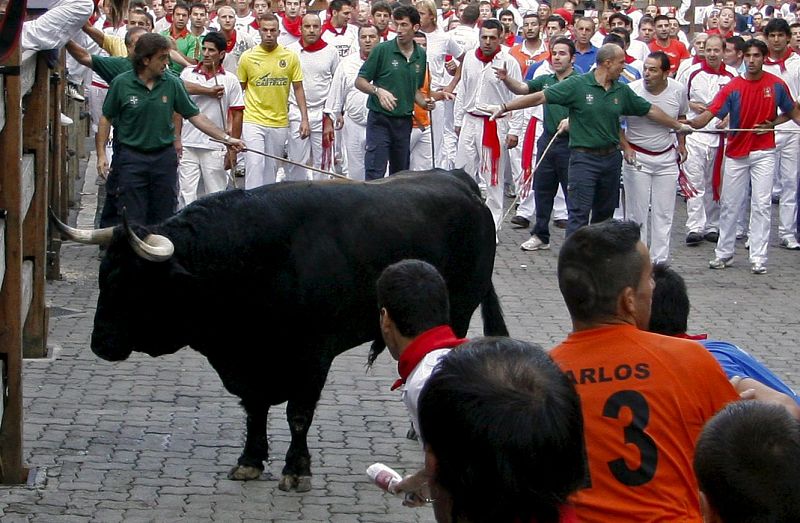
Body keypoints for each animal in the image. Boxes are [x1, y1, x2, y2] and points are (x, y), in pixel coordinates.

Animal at [54, 171, 506, 492]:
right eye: (103, 276)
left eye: (134, 285)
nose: (100, 344)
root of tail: (459, 182)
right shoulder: (248, 360)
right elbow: (255, 410)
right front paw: (250, 460)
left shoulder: (312, 356)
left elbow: (298, 415)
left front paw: (296, 468)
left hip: (459, 311)